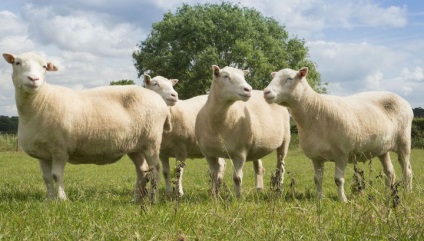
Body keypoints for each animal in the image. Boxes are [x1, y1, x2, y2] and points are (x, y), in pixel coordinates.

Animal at [2, 52, 172, 203]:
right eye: (17, 63)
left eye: (44, 67)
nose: (33, 79)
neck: (41, 101)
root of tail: (161, 102)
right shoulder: (43, 154)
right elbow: (47, 178)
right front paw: (50, 200)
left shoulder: (60, 150)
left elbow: (56, 176)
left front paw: (62, 200)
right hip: (135, 146)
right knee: (143, 171)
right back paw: (137, 199)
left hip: (152, 141)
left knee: (155, 169)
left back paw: (153, 199)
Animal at [195, 65, 288, 197]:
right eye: (225, 76)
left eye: (243, 76)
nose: (248, 89)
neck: (217, 126)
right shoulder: (209, 154)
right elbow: (213, 176)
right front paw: (214, 196)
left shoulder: (240, 153)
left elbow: (237, 178)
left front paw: (238, 197)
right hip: (257, 146)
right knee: (259, 168)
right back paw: (259, 190)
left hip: (285, 140)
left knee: (281, 168)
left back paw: (279, 189)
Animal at [264, 66, 412, 201]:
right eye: (273, 77)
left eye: (290, 78)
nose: (266, 92)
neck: (315, 111)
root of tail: (402, 100)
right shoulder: (316, 157)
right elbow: (317, 179)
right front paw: (318, 200)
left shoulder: (342, 155)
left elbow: (338, 180)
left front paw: (343, 200)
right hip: (382, 149)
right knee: (390, 172)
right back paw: (387, 194)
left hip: (404, 143)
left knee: (407, 170)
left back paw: (407, 193)